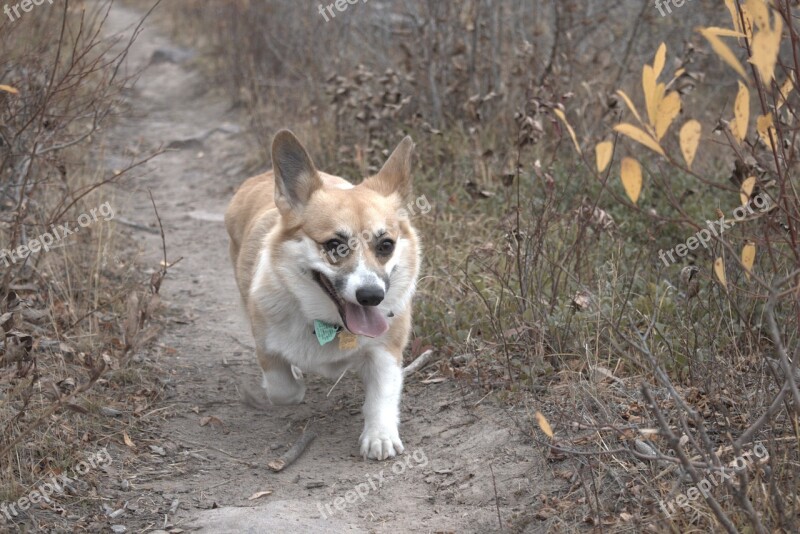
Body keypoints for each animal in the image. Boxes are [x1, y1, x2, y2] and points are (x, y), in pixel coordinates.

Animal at [225, 130, 422, 460]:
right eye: (335, 246)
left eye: (386, 245)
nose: (372, 296)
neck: (330, 324)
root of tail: (260, 177)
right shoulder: (266, 345)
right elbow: (285, 390)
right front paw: (293, 381)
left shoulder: (386, 350)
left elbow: (382, 394)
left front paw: (379, 436)